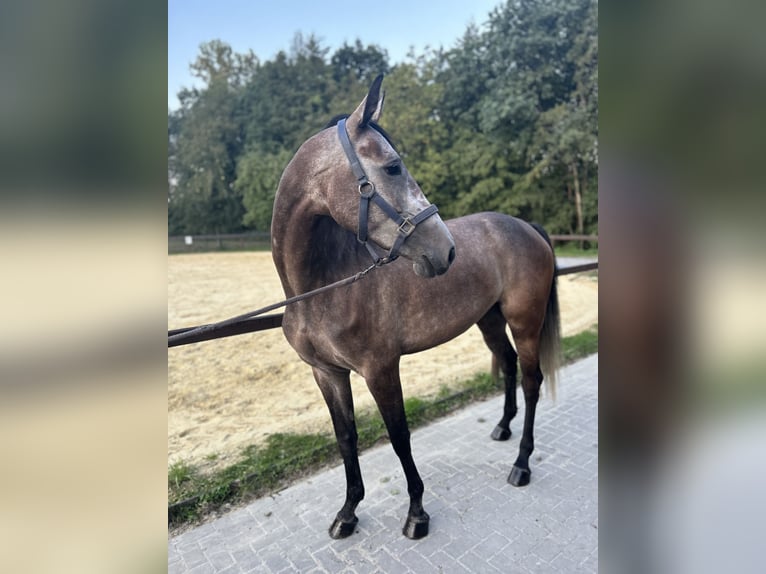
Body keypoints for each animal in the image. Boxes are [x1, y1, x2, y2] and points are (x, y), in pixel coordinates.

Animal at [272, 75, 560, 540]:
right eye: (393, 167)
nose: (446, 251)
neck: (321, 288)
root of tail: (525, 227)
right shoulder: (327, 374)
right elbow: (346, 438)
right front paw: (348, 512)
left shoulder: (381, 369)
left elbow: (399, 435)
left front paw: (416, 513)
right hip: (490, 321)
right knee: (509, 365)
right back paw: (502, 428)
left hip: (525, 322)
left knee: (532, 380)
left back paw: (520, 463)